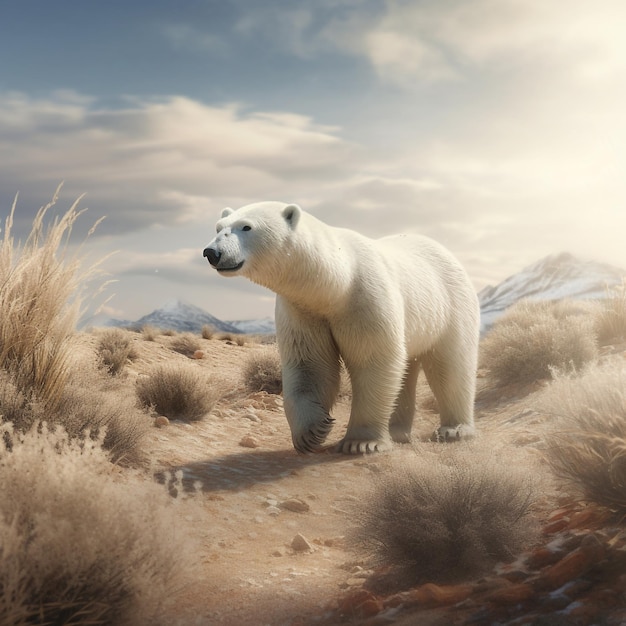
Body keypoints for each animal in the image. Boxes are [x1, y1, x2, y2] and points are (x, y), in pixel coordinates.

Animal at [202, 202, 480, 450]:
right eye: (218, 227)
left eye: (246, 226)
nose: (211, 252)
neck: (336, 284)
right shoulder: (302, 311)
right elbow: (310, 365)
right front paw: (312, 432)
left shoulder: (365, 299)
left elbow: (373, 359)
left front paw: (361, 442)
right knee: (407, 368)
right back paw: (397, 432)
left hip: (451, 306)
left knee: (451, 366)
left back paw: (455, 429)